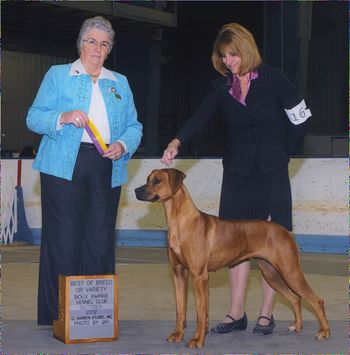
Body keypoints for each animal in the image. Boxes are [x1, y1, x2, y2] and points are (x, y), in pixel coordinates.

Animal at [134, 168, 328, 350]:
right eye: (147, 179)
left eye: (157, 181)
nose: (136, 190)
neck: (180, 222)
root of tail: (284, 231)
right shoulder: (179, 272)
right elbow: (180, 309)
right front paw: (178, 334)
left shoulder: (199, 276)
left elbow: (199, 312)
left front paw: (197, 340)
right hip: (271, 274)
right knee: (295, 298)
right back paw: (298, 326)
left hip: (289, 270)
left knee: (316, 300)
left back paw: (324, 331)